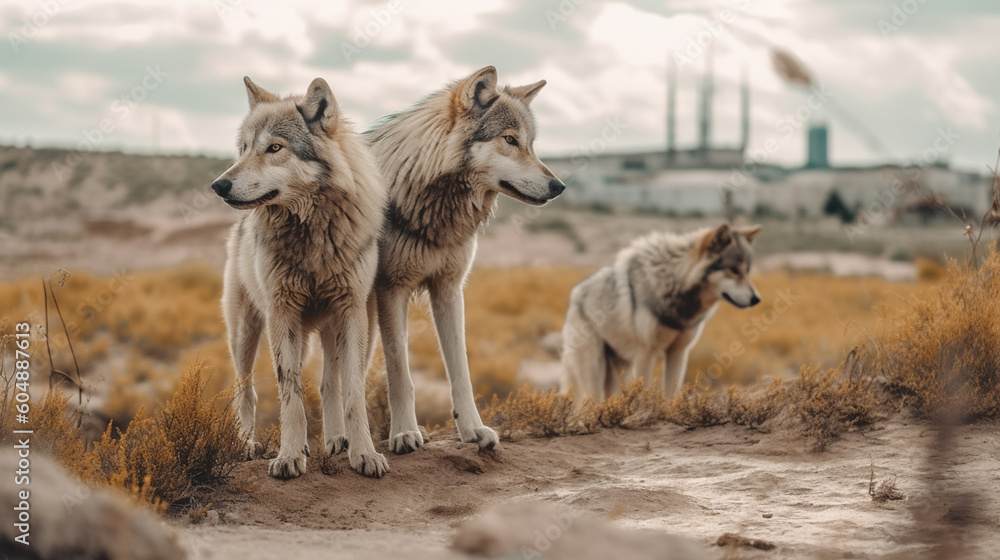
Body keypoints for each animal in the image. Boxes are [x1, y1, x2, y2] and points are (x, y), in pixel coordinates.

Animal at [213, 76, 388, 479]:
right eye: (244, 149)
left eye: (274, 148)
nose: (218, 185)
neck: (312, 233)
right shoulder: (283, 314)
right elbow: (289, 392)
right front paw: (290, 456)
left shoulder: (351, 312)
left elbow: (352, 390)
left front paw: (364, 453)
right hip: (245, 333)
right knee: (246, 391)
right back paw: (247, 444)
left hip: (341, 329)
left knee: (328, 384)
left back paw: (337, 440)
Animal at [366, 66, 565, 454]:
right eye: (510, 140)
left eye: (531, 144)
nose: (559, 187)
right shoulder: (392, 290)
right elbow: (400, 373)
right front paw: (404, 433)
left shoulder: (449, 289)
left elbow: (461, 369)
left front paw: (473, 429)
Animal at [561, 223, 762, 402]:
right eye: (733, 270)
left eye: (747, 270)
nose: (756, 299)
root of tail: (574, 293)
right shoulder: (646, 352)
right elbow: (642, 394)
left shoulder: (679, 352)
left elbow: (671, 394)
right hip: (594, 372)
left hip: (620, 370)